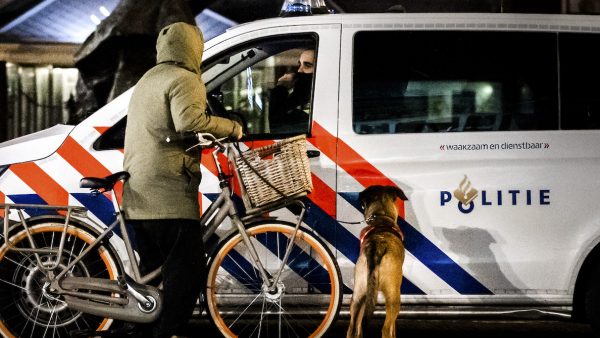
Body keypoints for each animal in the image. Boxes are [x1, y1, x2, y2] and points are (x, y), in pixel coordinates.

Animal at [346, 185, 408, 338]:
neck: (381, 218)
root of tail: (376, 248)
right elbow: (393, 328)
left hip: (358, 296)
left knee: (353, 327)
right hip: (393, 297)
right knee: (386, 328)